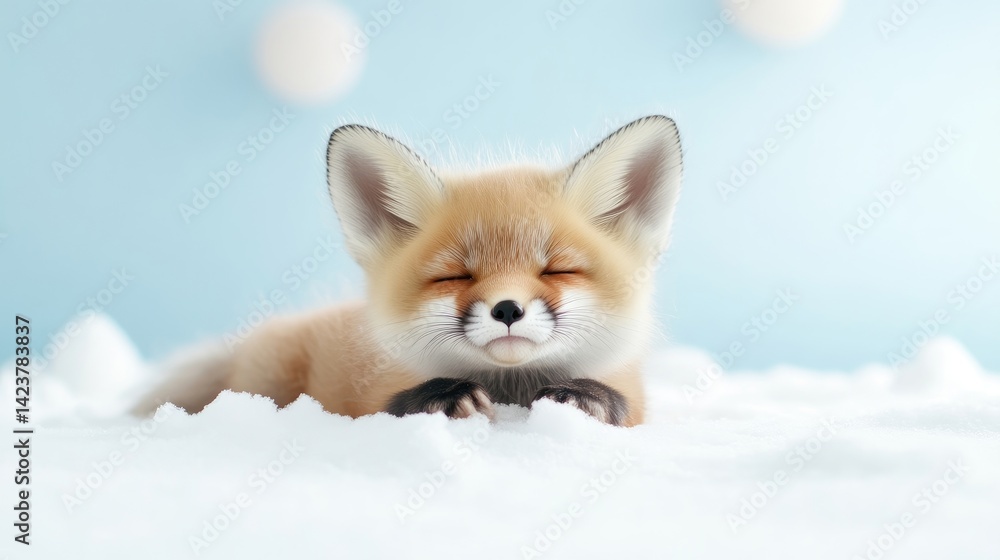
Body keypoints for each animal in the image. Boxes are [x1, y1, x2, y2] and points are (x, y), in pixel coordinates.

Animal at [133, 115, 683, 427]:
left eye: (556, 270)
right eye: (454, 276)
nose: (507, 309)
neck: (511, 391)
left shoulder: (634, 393)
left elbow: (618, 402)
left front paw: (580, 397)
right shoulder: (367, 401)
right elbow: (396, 403)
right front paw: (448, 397)